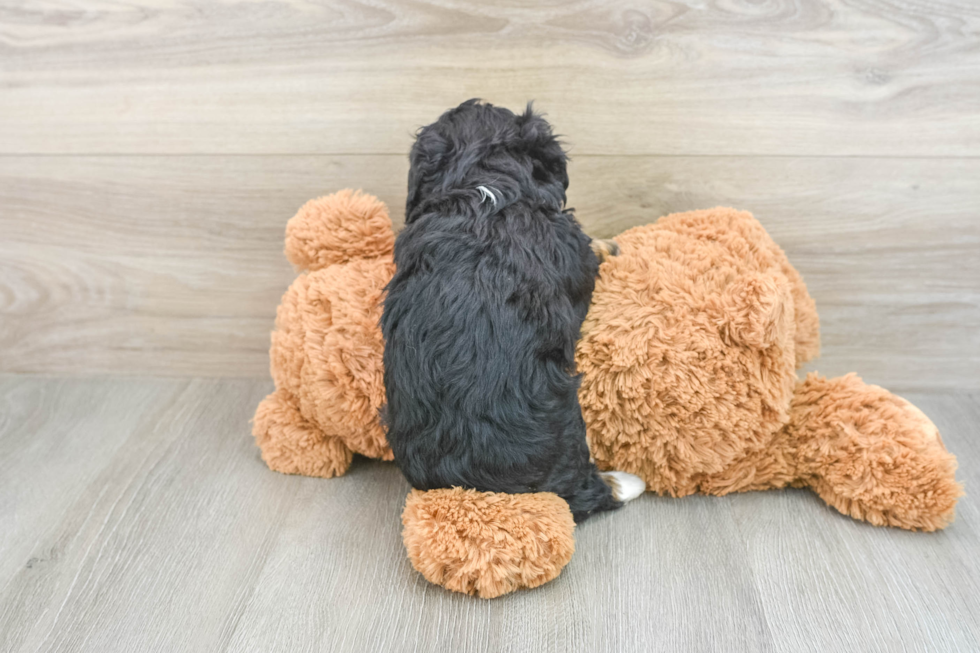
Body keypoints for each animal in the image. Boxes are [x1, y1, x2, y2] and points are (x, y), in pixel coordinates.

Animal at [380, 99, 644, 524]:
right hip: (568, 431)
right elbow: (591, 249)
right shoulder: (575, 252)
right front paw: (610, 244)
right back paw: (626, 481)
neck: (484, 188)